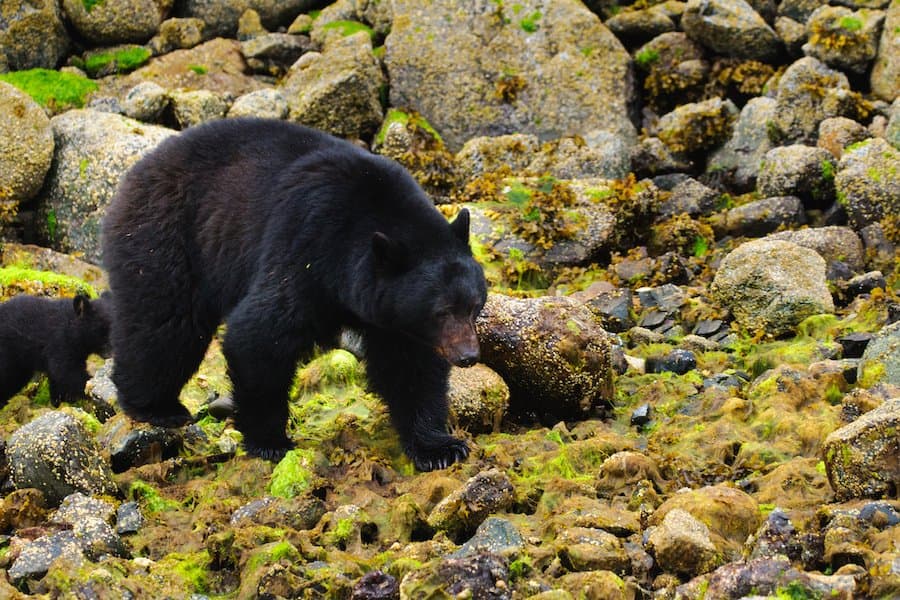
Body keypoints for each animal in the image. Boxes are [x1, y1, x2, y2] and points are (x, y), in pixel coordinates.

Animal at [101, 118, 487, 471]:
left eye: (474, 306)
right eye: (442, 311)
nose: (469, 355)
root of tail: (142, 165)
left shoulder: (393, 316)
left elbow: (412, 367)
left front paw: (439, 447)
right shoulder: (306, 246)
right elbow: (258, 336)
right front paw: (270, 441)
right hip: (167, 236)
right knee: (165, 324)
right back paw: (157, 407)